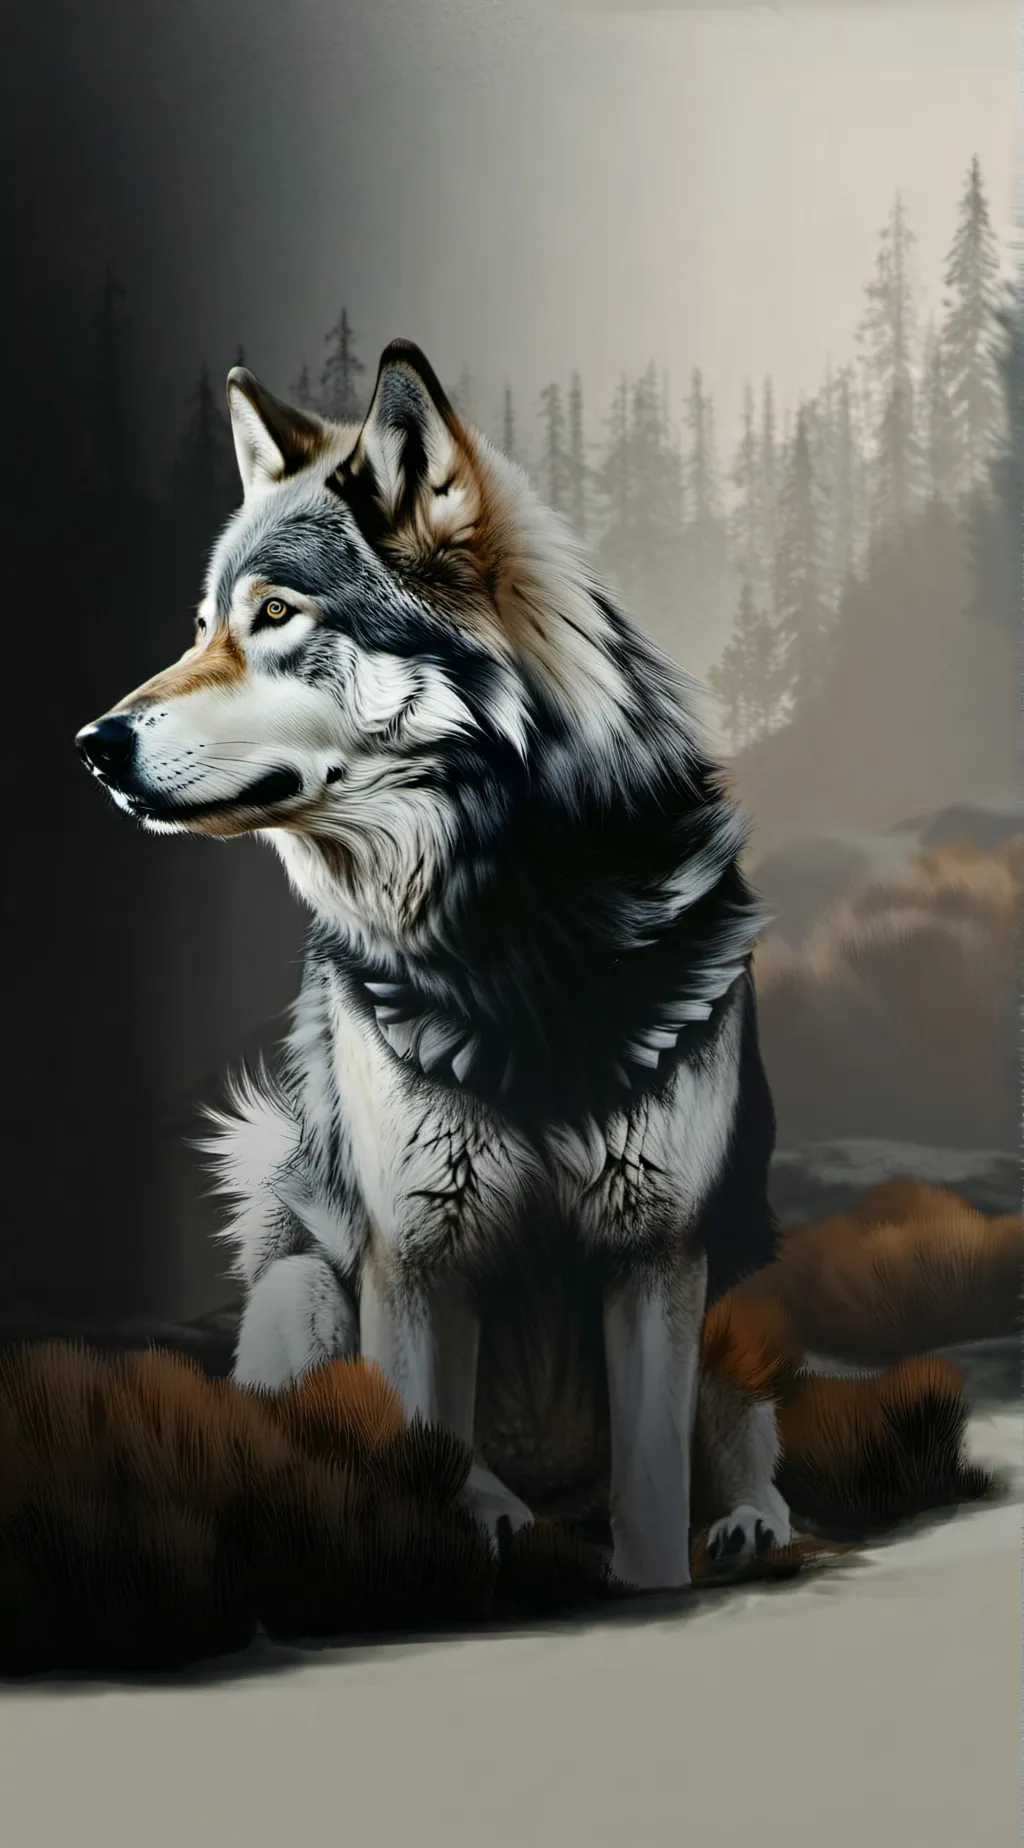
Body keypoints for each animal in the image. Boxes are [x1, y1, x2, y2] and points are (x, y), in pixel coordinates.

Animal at [76, 340, 792, 1590]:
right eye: (202, 624)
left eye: (275, 614)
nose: (93, 746)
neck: (519, 941)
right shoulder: (412, 1255)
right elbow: (418, 1442)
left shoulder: (656, 1249)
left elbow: (656, 1504)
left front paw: (661, 1589)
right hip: (307, 1287)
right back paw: (497, 1520)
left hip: (735, 1287)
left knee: (741, 1453)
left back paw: (745, 1525)